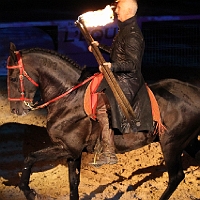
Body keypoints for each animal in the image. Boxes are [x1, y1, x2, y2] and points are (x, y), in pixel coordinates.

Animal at [6, 43, 200, 200]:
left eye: (13, 78)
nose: (15, 110)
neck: (70, 97)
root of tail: (193, 92)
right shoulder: (73, 153)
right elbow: (73, 183)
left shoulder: (68, 147)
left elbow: (29, 158)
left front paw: (29, 192)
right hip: (186, 143)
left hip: (171, 144)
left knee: (176, 177)